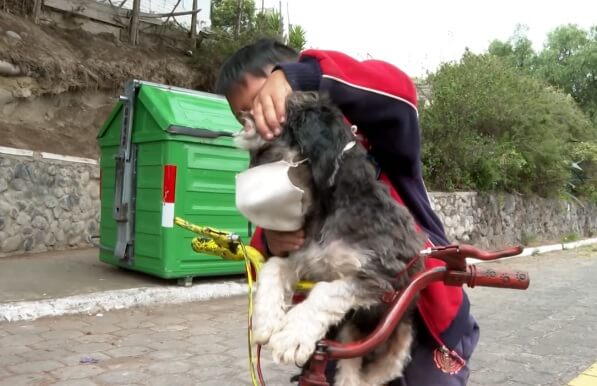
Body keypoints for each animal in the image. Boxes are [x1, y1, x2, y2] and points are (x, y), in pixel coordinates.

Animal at [235, 92, 426, 384]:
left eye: (265, 150)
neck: (330, 207)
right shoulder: (306, 260)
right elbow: (274, 266)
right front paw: (265, 319)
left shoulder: (385, 278)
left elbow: (327, 292)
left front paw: (292, 336)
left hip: (394, 337)